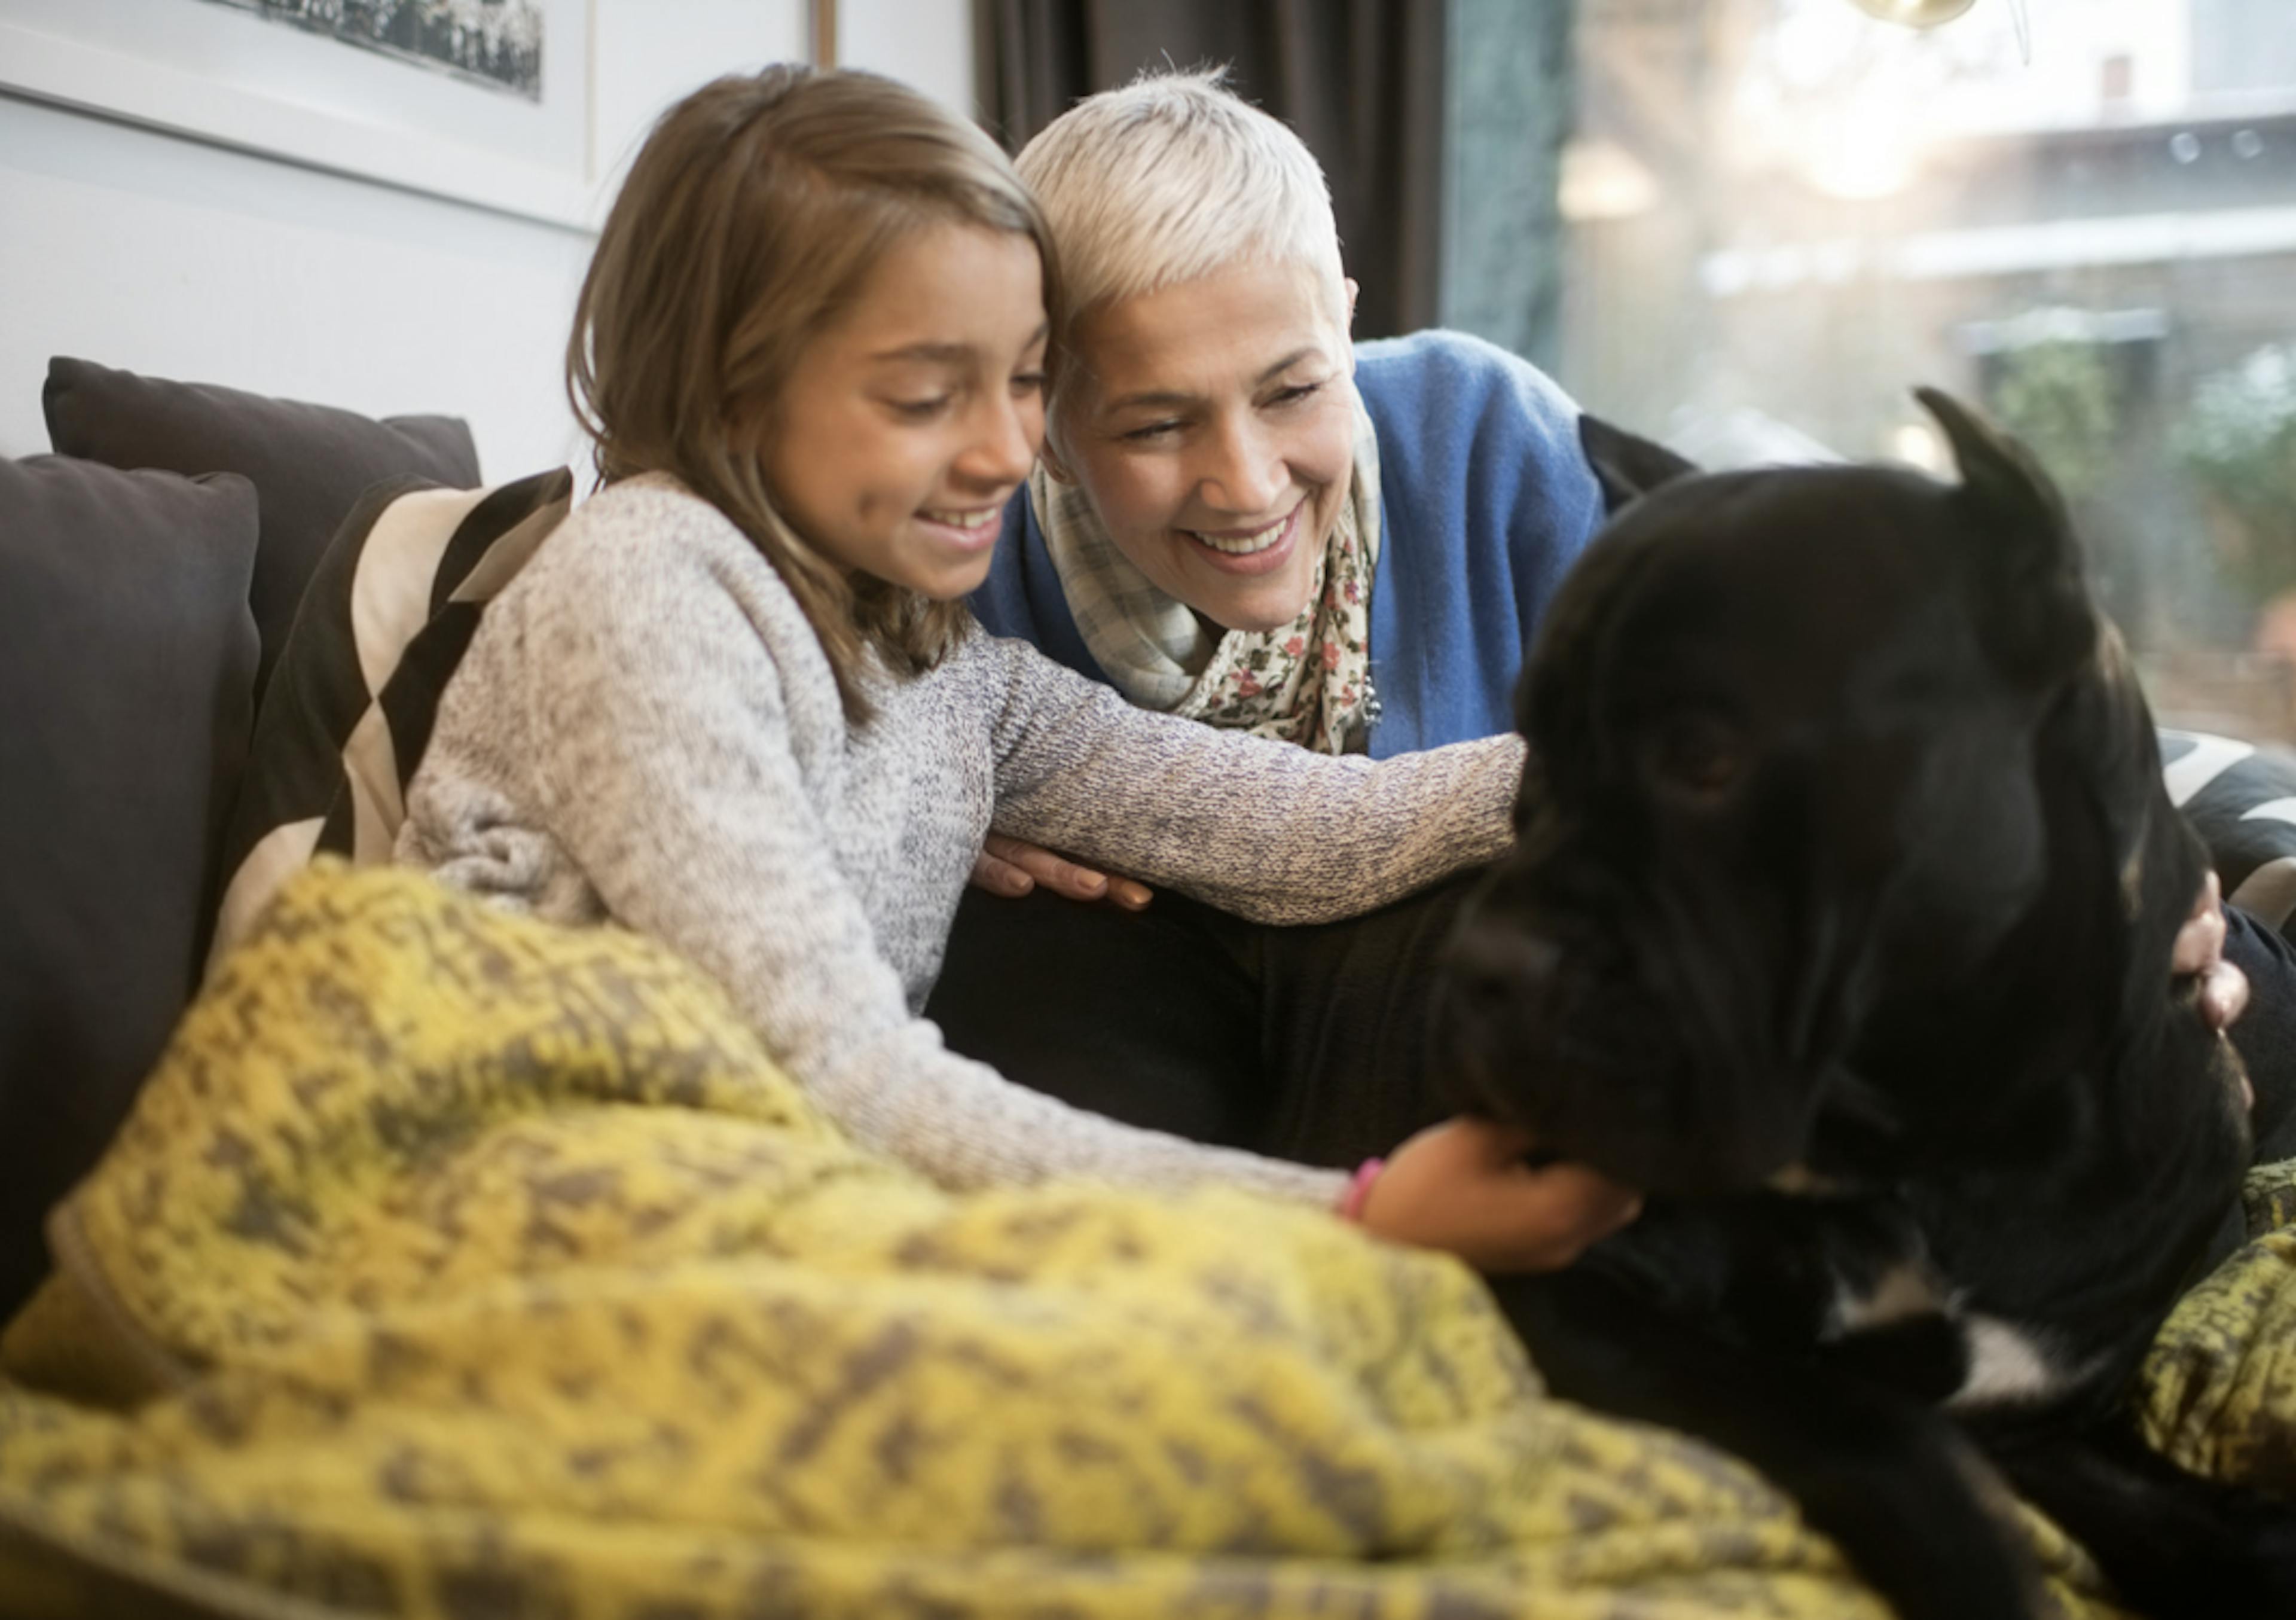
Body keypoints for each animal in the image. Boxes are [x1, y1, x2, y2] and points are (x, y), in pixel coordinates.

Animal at [1442, 390, 2296, 1618]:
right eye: (1534, 763)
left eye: (1704, 759)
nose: (1481, 963)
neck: (1947, 1144)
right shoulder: (1567, 1280)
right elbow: (1875, 1430)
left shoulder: (2049, 1415)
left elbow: (2213, 1523)